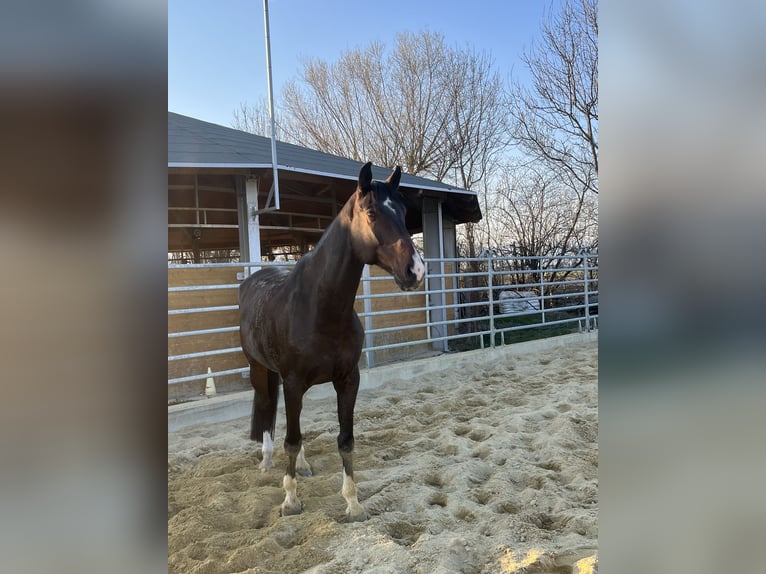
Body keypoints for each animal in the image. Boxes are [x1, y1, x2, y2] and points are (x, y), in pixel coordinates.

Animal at [238, 161, 426, 520]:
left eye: (404, 210)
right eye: (371, 212)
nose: (416, 270)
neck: (320, 307)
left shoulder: (347, 380)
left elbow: (344, 440)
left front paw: (353, 503)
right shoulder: (293, 380)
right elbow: (291, 439)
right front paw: (290, 501)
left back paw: (303, 465)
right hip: (260, 369)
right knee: (268, 409)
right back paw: (267, 461)